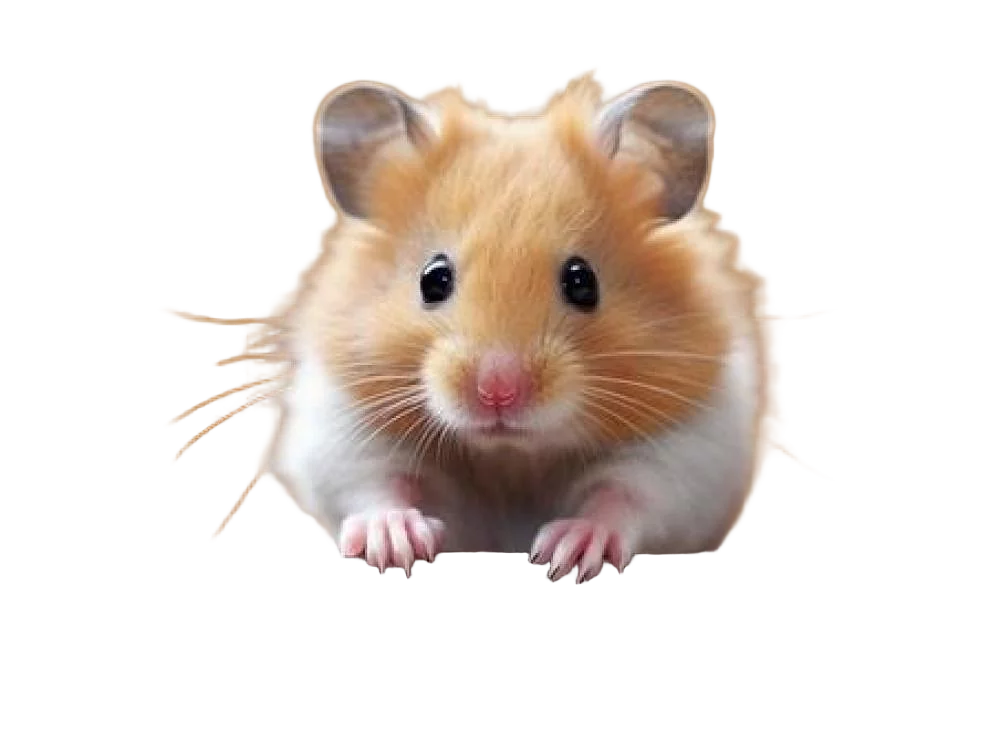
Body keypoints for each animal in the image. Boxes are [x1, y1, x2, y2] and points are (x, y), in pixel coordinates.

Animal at [160, 66, 832, 585]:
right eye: (433, 279)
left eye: (583, 281)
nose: (498, 392)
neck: (510, 453)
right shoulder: (343, 426)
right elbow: (374, 482)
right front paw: (396, 545)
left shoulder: (691, 450)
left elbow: (628, 493)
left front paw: (567, 553)